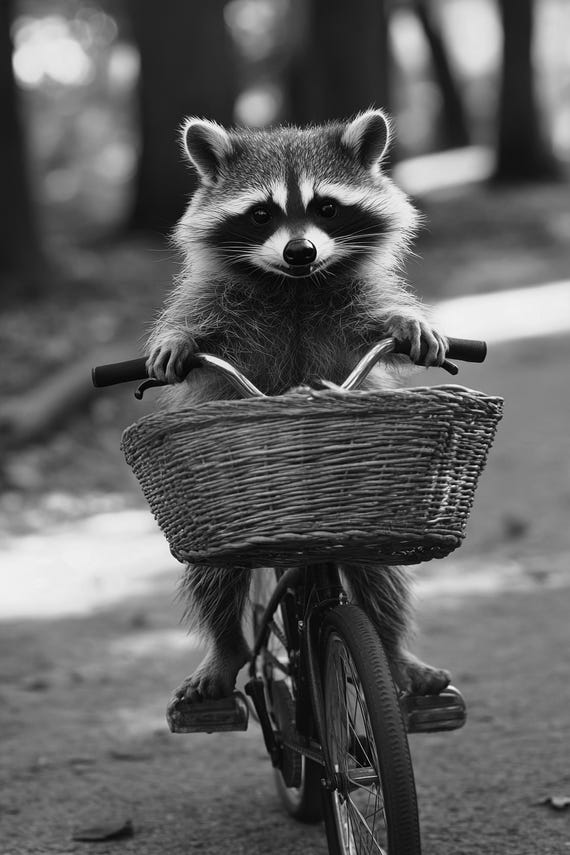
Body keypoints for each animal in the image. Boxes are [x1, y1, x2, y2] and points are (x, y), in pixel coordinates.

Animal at [147, 109, 451, 709]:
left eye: (326, 208)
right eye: (261, 214)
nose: (300, 252)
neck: (295, 286)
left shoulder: (353, 301)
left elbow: (379, 320)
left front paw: (406, 322)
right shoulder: (216, 298)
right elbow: (191, 317)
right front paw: (177, 339)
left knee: (378, 577)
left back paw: (393, 649)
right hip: (214, 517)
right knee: (214, 577)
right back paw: (225, 650)